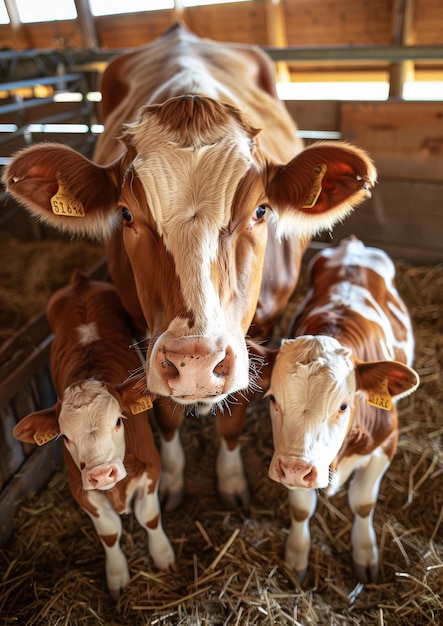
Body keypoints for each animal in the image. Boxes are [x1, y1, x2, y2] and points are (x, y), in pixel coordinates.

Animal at [2, 24, 378, 510]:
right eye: (125, 214)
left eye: (261, 210)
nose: (196, 360)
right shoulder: (144, 331)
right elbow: (164, 413)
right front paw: (174, 480)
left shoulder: (258, 331)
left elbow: (235, 413)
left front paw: (232, 481)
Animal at [12, 270, 175, 596]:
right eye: (65, 438)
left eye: (118, 422)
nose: (101, 474)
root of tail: (80, 282)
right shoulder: (80, 490)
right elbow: (110, 534)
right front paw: (117, 576)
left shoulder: (151, 468)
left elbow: (150, 518)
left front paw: (163, 556)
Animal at [256, 238, 420, 580]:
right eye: (274, 399)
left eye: (344, 405)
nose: (295, 469)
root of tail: (354, 244)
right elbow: (301, 509)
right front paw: (296, 557)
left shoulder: (386, 443)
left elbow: (363, 504)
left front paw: (365, 555)